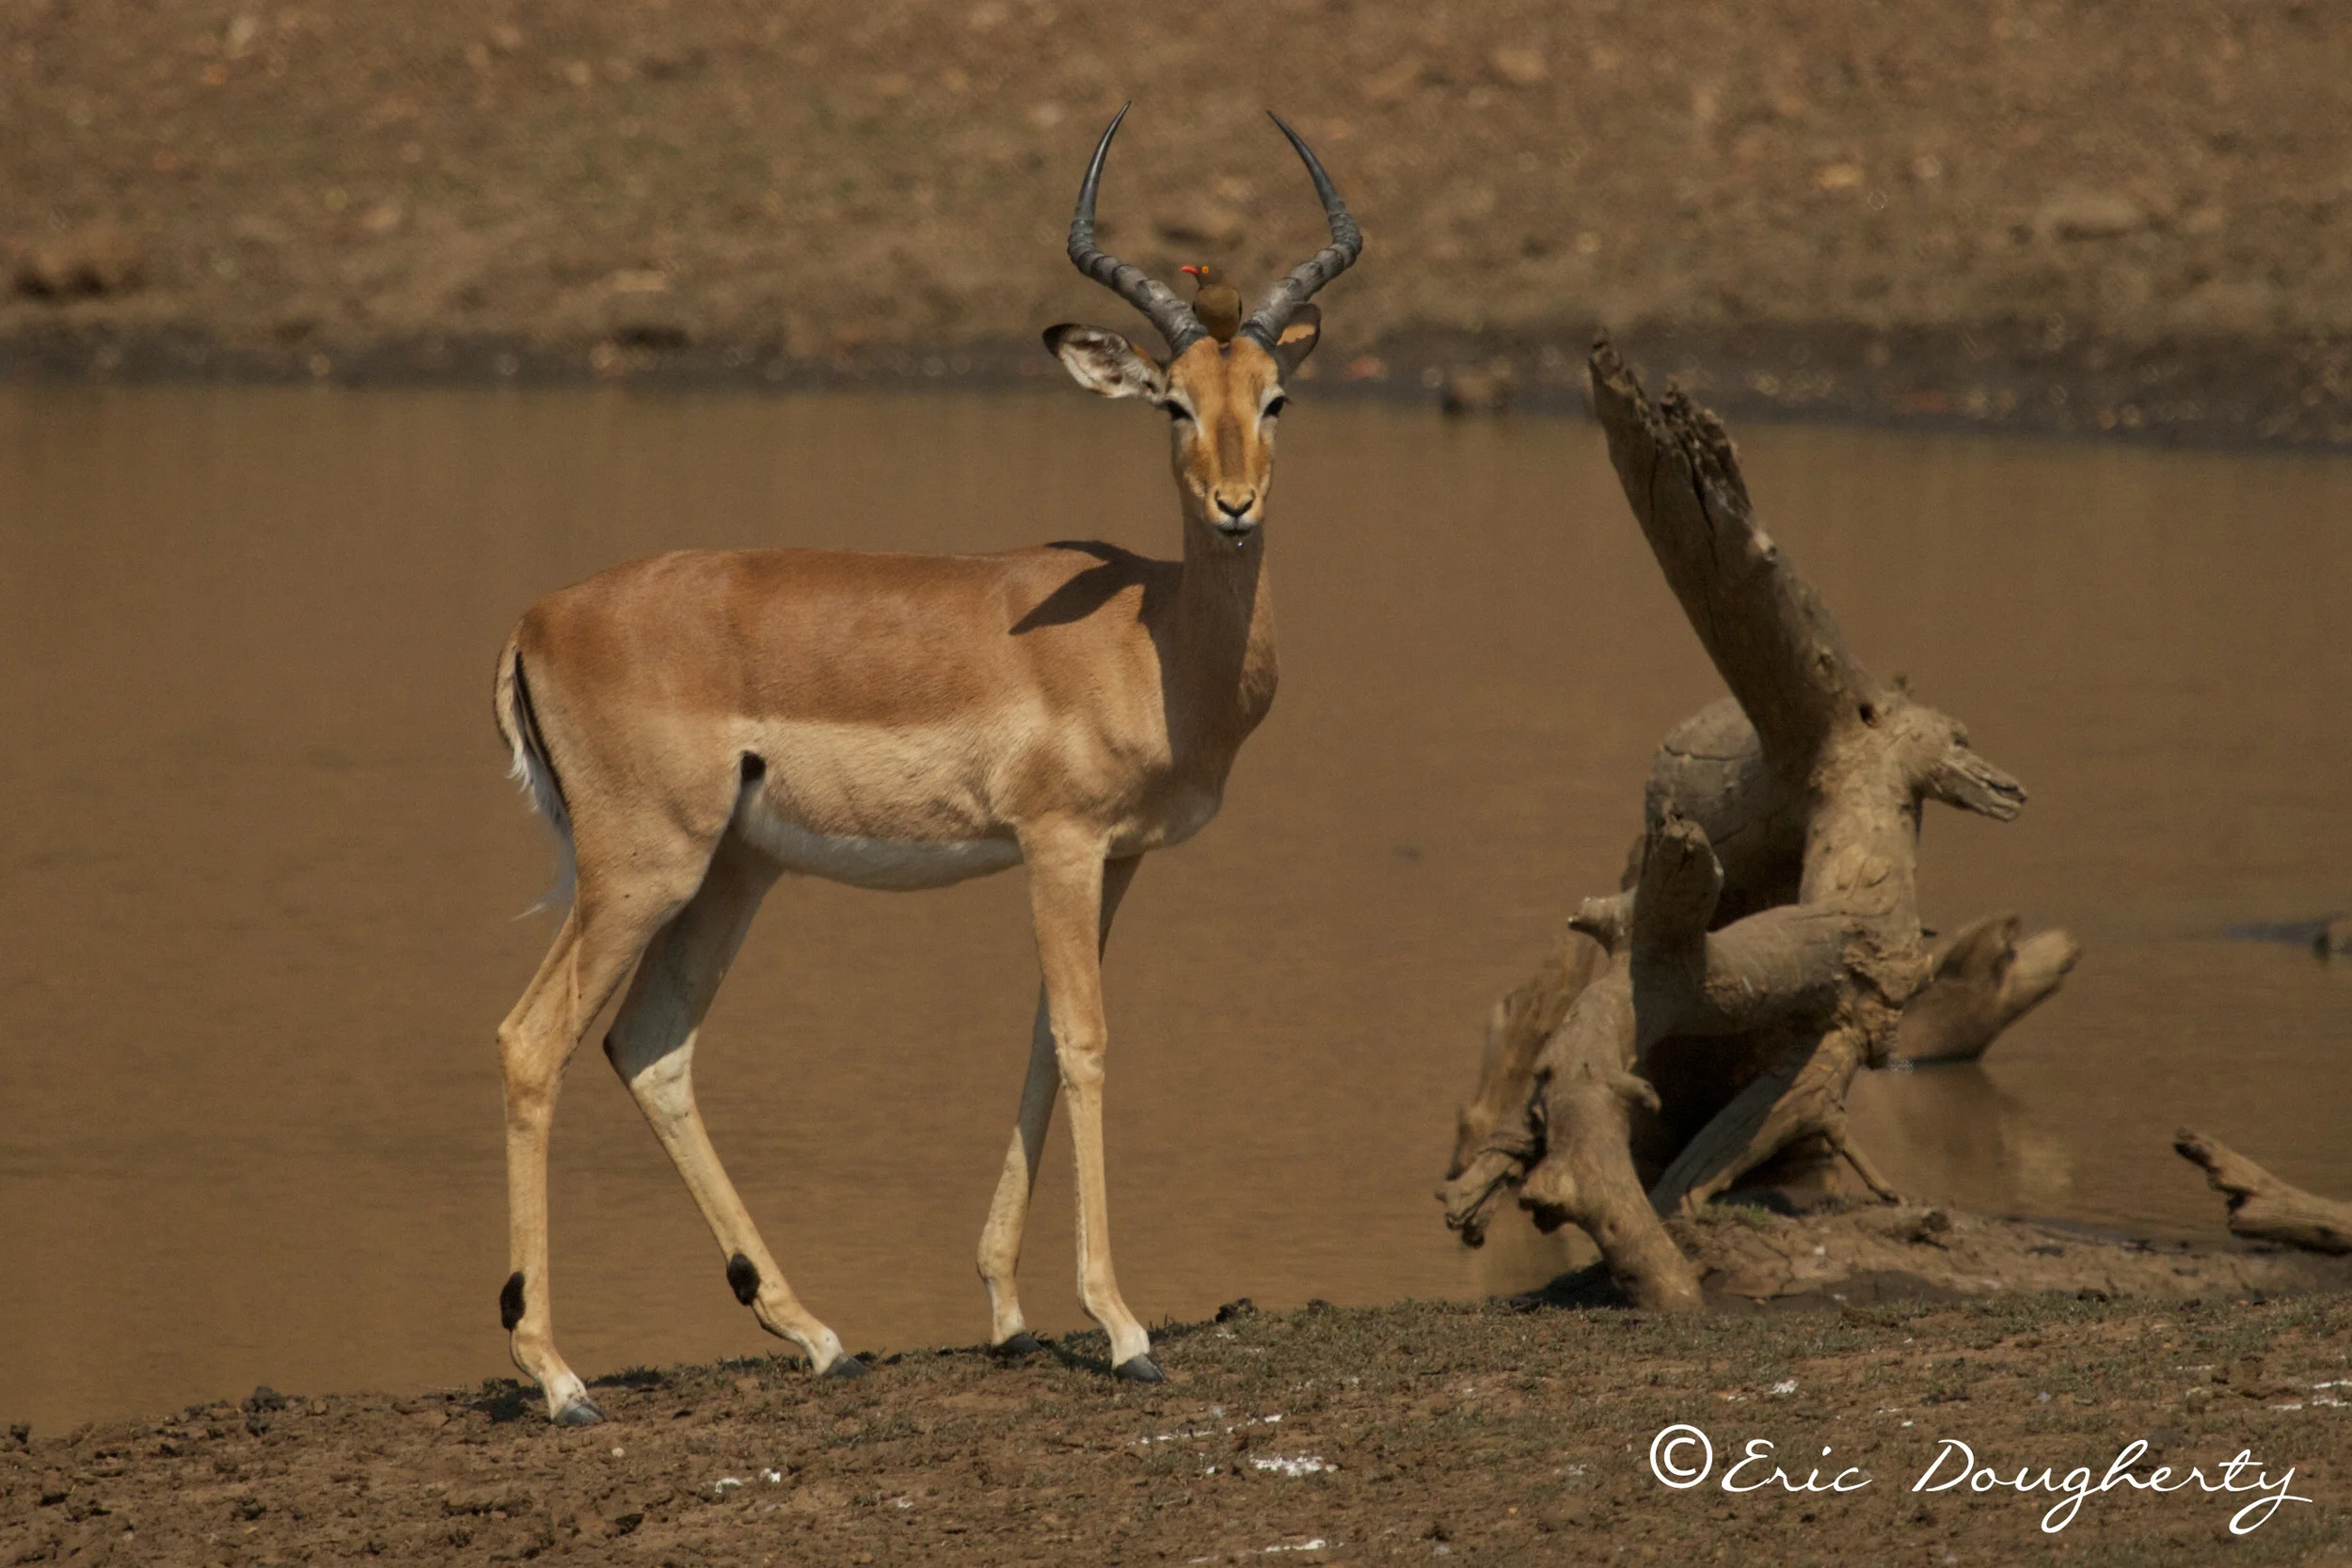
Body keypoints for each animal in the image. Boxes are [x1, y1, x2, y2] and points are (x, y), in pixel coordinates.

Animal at [487, 105, 1361, 1423]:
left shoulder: (1113, 860)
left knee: (650, 1043)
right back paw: (559, 1374)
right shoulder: (1058, 844)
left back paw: (816, 1333)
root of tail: (538, 617)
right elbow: (1087, 1042)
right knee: (532, 1041)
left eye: (1278, 396)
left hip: (735, 871)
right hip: (641, 866)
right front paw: (1122, 1327)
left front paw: (1007, 1309)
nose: (1233, 503)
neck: (1150, 631)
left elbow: (1044, 1036)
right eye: (1169, 402)